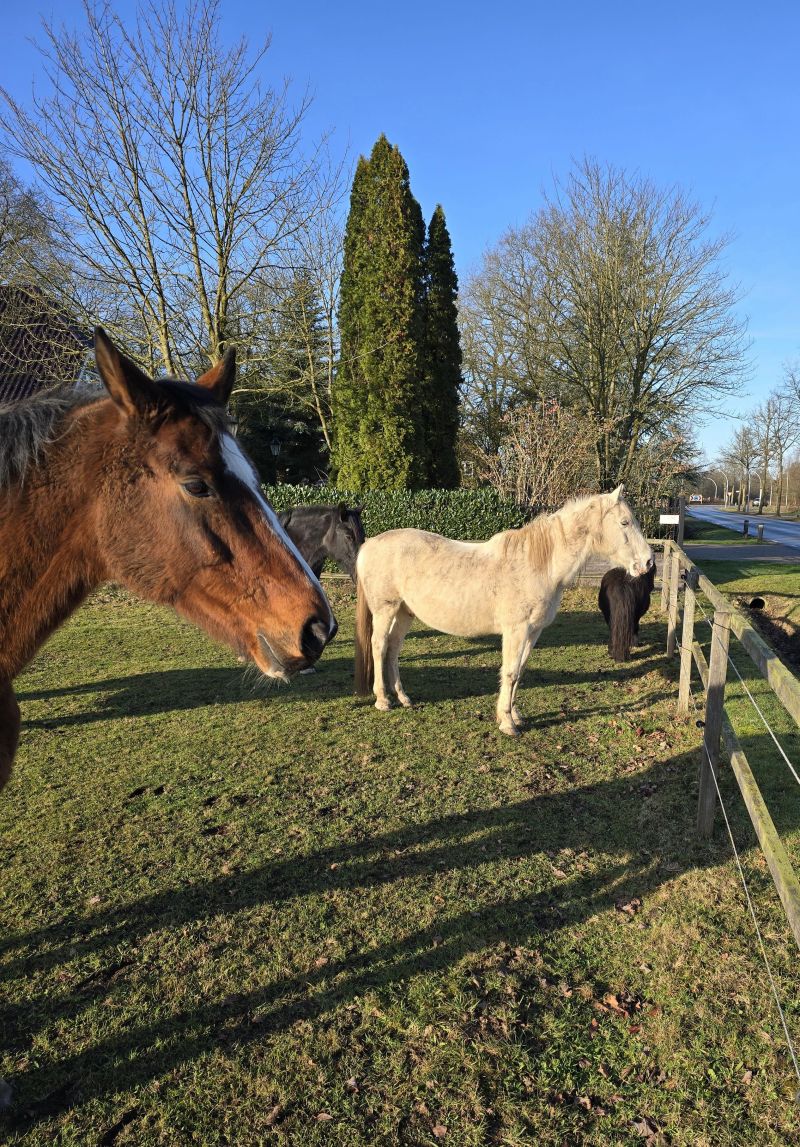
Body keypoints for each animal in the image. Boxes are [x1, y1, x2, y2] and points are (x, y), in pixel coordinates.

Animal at [354, 486, 653, 736]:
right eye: (625, 522)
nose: (648, 562)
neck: (539, 565)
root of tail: (369, 545)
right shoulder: (516, 631)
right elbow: (509, 672)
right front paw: (508, 724)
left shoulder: (533, 632)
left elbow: (519, 671)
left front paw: (513, 715)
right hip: (385, 610)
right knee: (379, 646)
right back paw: (383, 700)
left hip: (405, 612)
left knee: (393, 648)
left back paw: (403, 697)